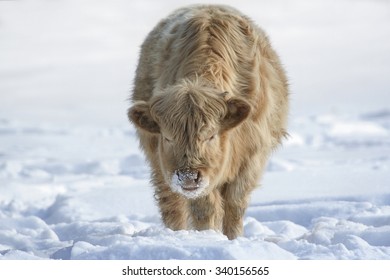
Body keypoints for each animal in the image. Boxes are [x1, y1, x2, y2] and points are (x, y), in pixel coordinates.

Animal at [129, 4, 290, 238]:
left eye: (211, 136)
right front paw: (209, 237)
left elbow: (235, 205)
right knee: (172, 204)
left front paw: (233, 239)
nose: (188, 177)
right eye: (167, 138)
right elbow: (205, 208)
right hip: (160, 166)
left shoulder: (252, 158)